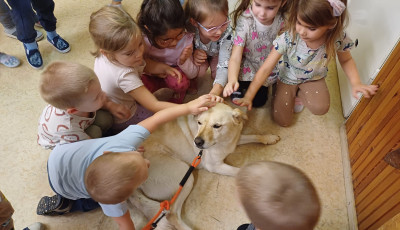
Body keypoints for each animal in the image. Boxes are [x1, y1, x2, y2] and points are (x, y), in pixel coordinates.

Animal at [128, 103, 278, 230]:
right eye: (199, 123)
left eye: (217, 126)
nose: (197, 142)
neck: (223, 140)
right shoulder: (215, 166)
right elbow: (240, 170)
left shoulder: (234, 141)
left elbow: (253, 135)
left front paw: (268, 137)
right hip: (185, 175)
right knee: (172, 214)